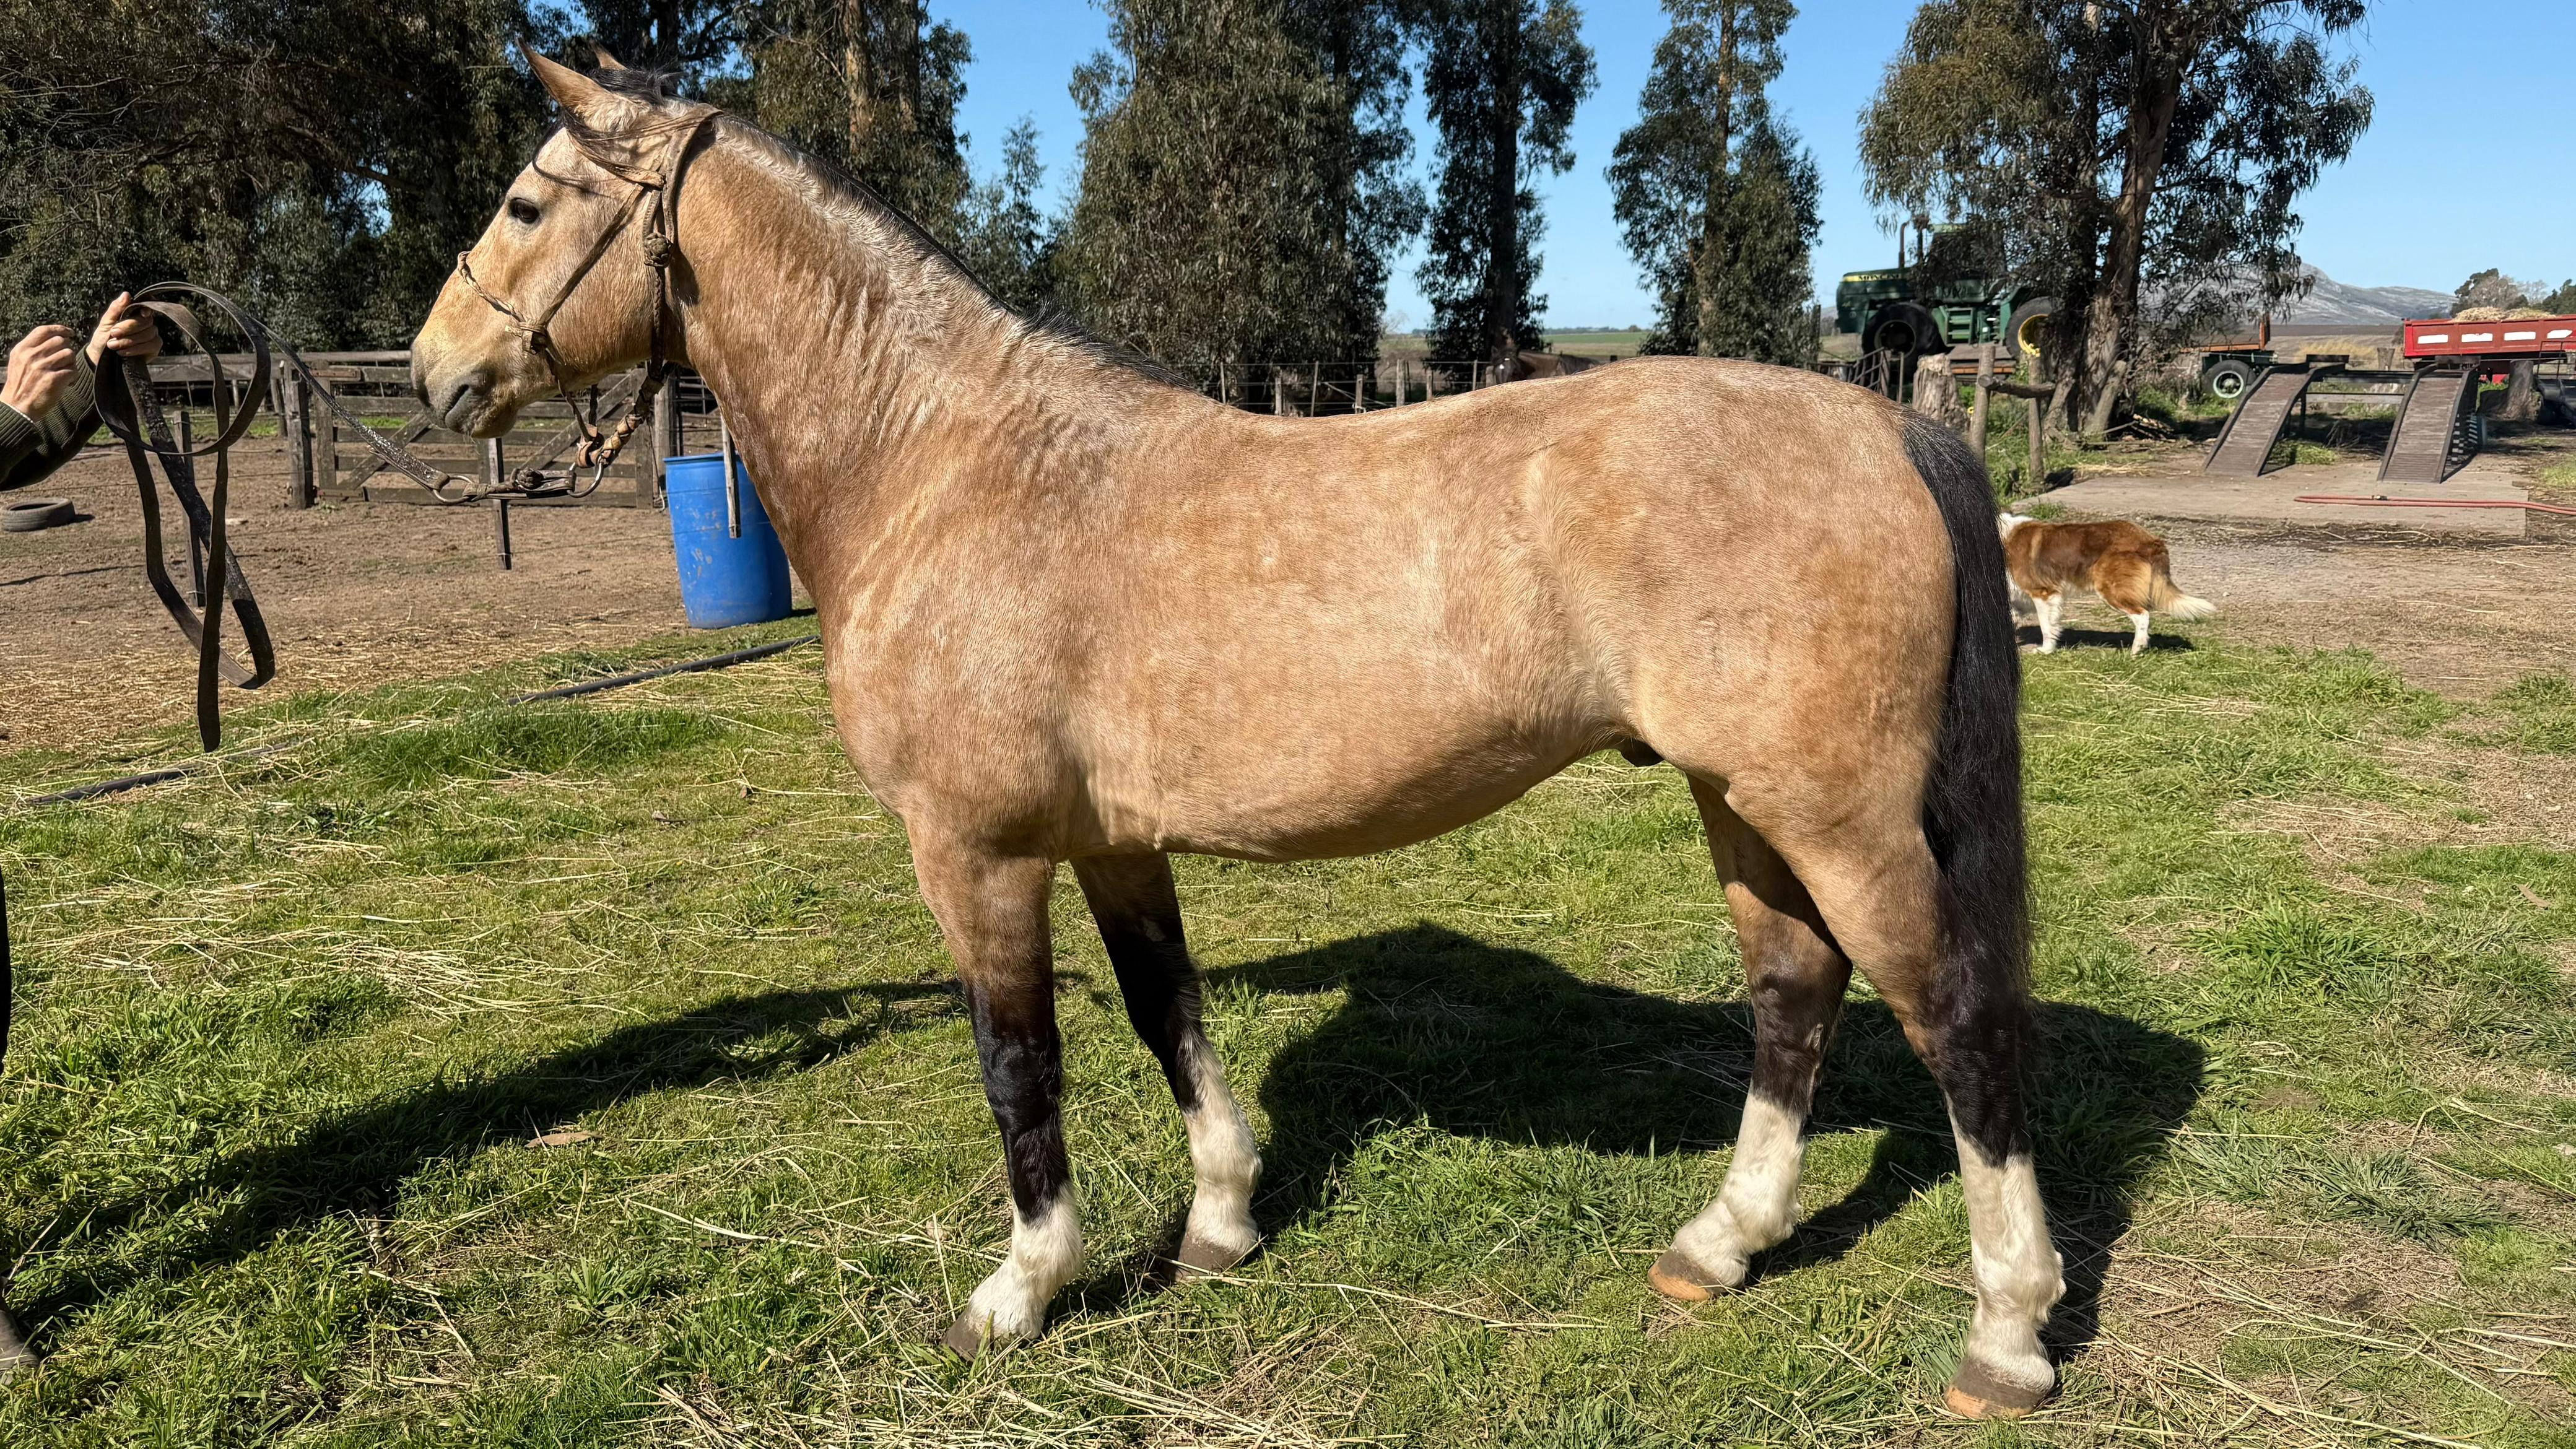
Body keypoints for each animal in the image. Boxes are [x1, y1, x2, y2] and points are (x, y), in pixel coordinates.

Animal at [409, 53, 2065, 1419]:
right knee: (1795, 992)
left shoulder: (976, 851)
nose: (433, 376)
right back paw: (1719, 1246)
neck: (946, 463)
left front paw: (1020, 1289)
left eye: (528, 199)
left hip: (1835, 818)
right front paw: (1218, 1221)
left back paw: (2007, 1333)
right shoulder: (1113, 842)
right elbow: (1168, 1015)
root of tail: (1893, 426)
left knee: (1955, 1019)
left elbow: (1019, 1061)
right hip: (1745, 803)